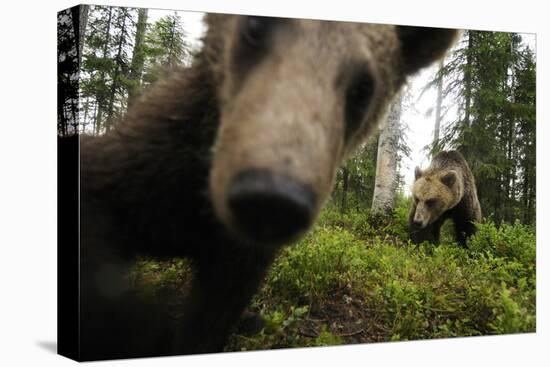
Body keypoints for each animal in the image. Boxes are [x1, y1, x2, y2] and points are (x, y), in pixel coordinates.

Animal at [66, 13, 462, 360]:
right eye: (255, 27)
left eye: (364, 87)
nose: (271, 197)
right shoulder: (151, 164)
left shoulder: (239, 258)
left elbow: (213, 315)